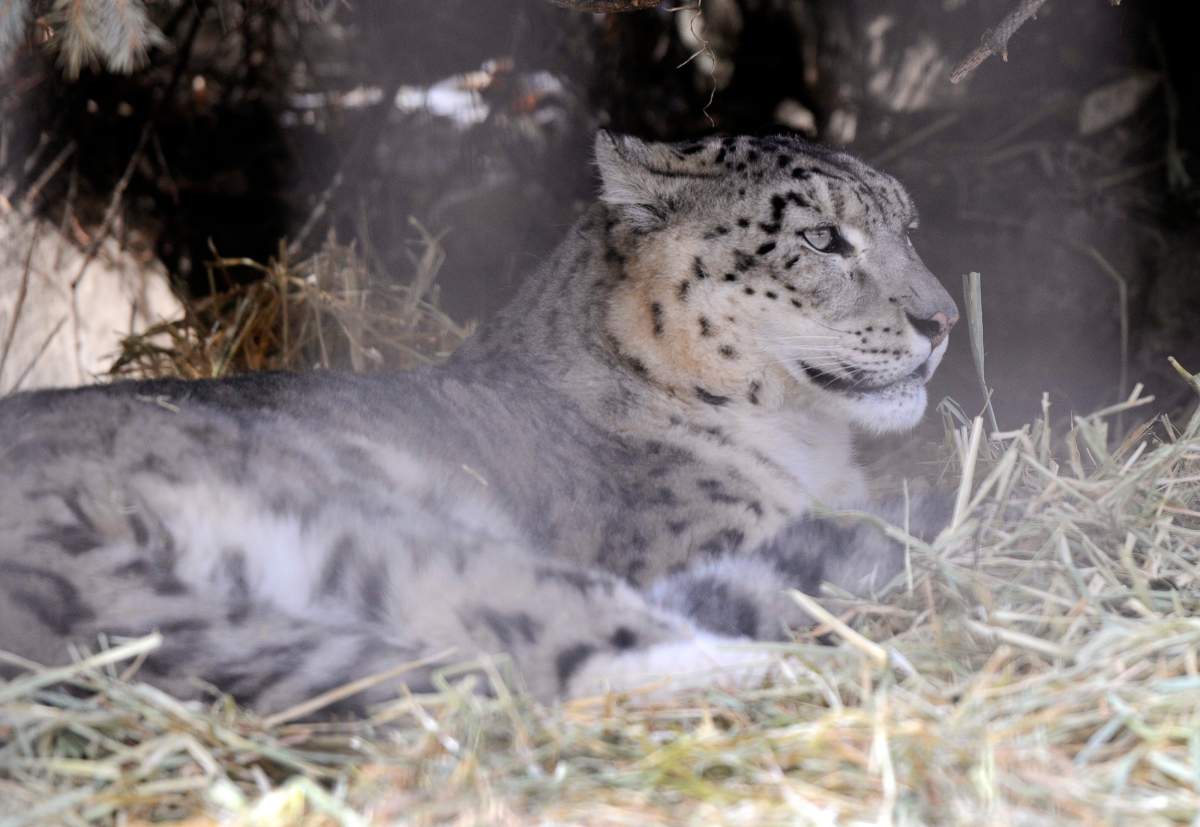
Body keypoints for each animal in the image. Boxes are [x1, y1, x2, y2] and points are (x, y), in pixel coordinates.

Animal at [0, 132, 958, 714]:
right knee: (552, 646)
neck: (813, 444)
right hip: (363, 517)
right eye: (824, 238)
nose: (943, 318)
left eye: (909, 225)